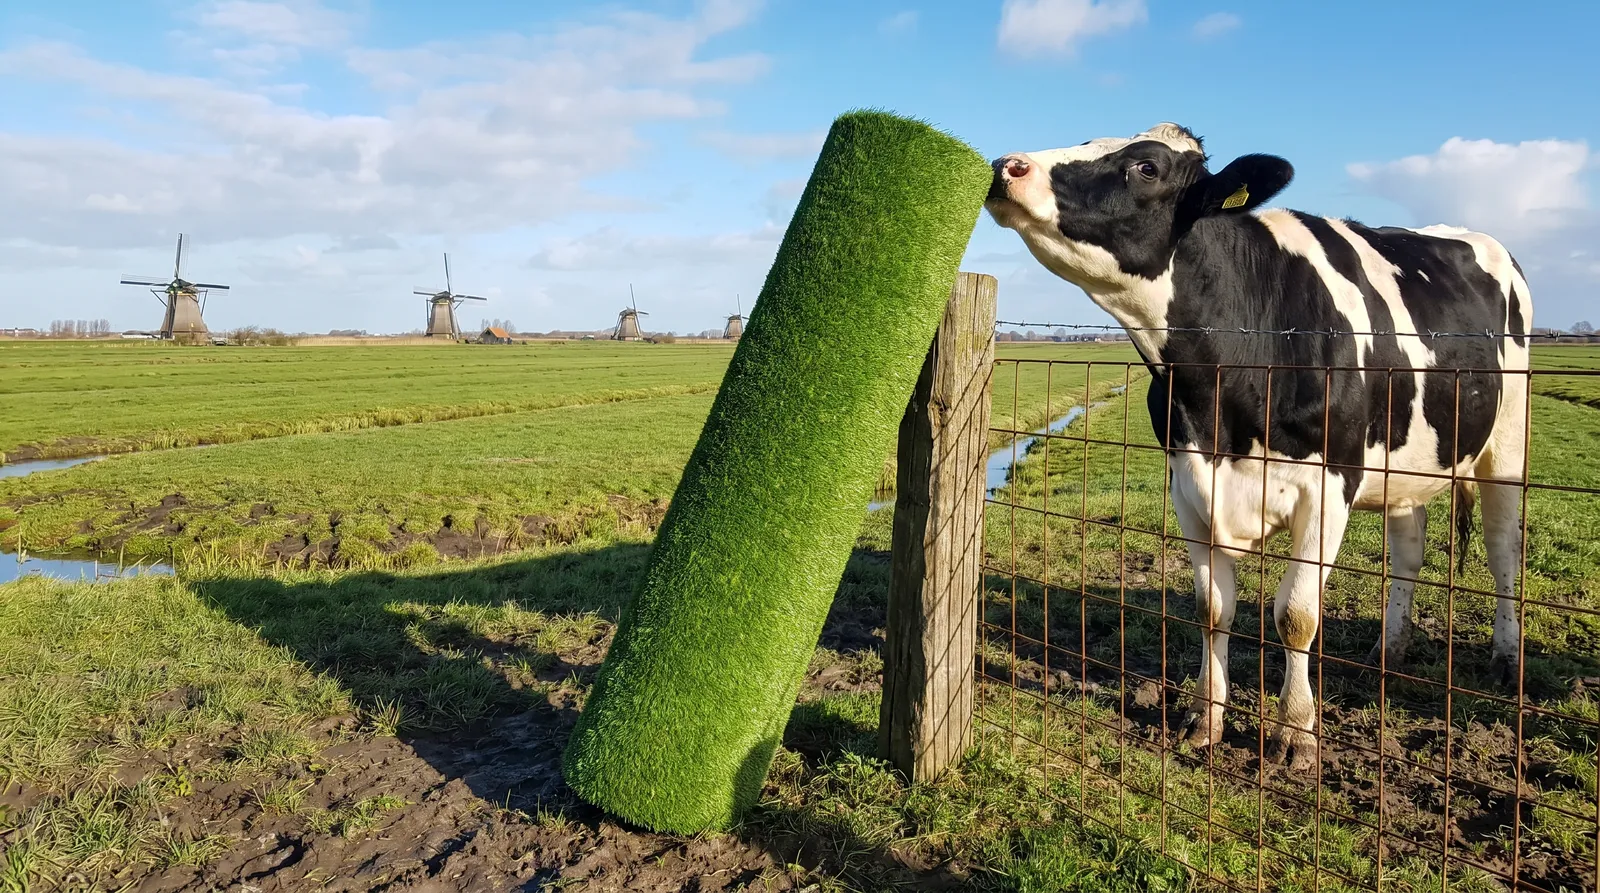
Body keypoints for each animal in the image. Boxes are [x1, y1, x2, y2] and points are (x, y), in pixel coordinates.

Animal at [984, 123, 1531, 770]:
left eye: (1147, 167)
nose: (1006, 165)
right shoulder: (1189, 484)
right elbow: (1212, 609)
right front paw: (1205, 718)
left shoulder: (1328, 487)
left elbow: (1295, 615)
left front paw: (1296, 732)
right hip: (1409, 460)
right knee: (1409, 550)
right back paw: (1388, 651)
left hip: (1507, 444)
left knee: (1502, 550)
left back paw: (1505, 658)